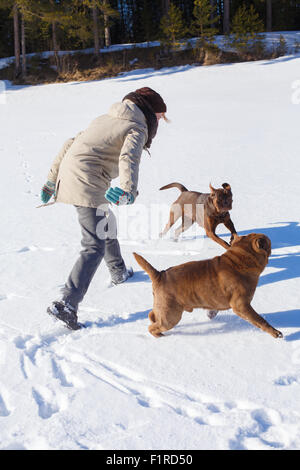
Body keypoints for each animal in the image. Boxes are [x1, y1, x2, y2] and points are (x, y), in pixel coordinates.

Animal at [134, 234, 284, 338]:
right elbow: (260, 320)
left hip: (163, 309)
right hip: (170, 316)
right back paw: (161, 336)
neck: (239, 260)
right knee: (152, 327)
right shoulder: (241, 305)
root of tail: (159, 275)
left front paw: (211, 313)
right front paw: (275, 333)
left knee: (151, 315)